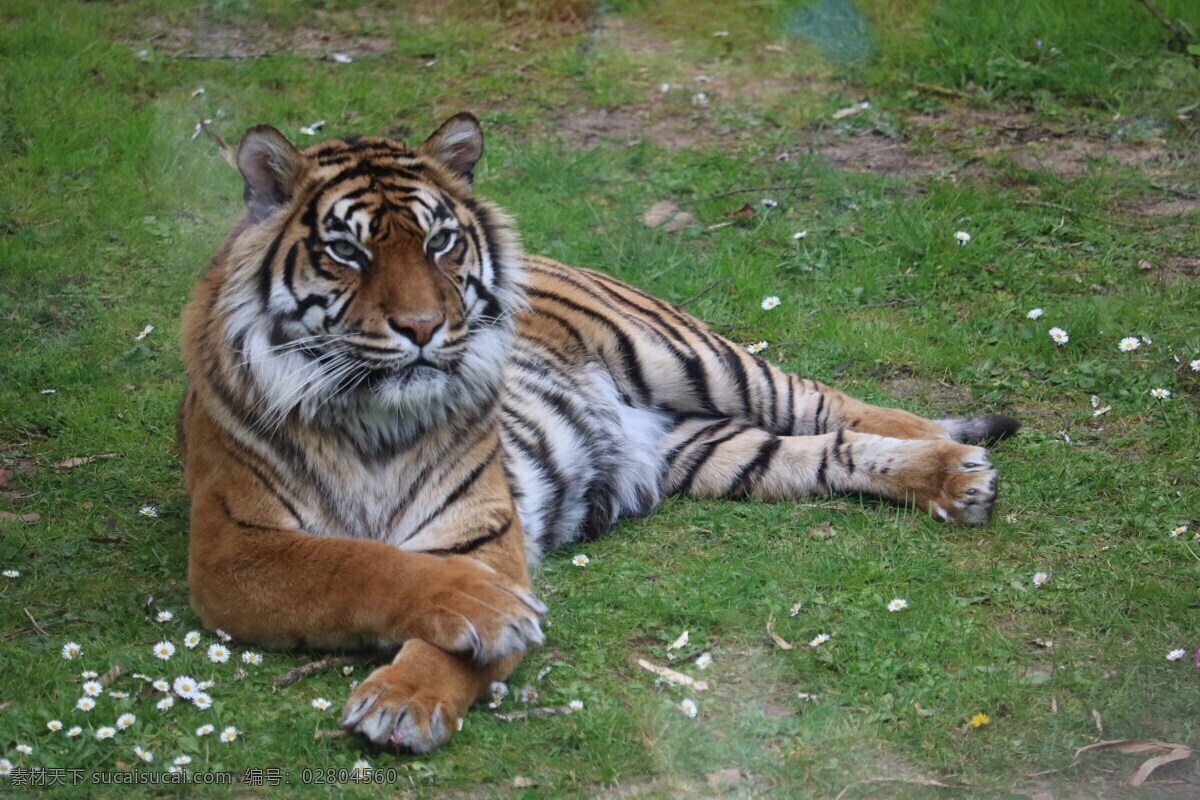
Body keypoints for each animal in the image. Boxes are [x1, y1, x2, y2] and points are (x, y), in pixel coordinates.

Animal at [180, 110, 1022, 753]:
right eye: (346, 251)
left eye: (440, 243)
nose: (423, 328)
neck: (369, 418)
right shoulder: (232, 547)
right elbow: (361, 564)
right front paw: (481, 621)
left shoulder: (485, 533)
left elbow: (440, 621)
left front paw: (408, 696)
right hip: (713, 451)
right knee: (825, 450)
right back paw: (954, 481)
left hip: (699, 360)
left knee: (834, 402)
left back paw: (963, 462)